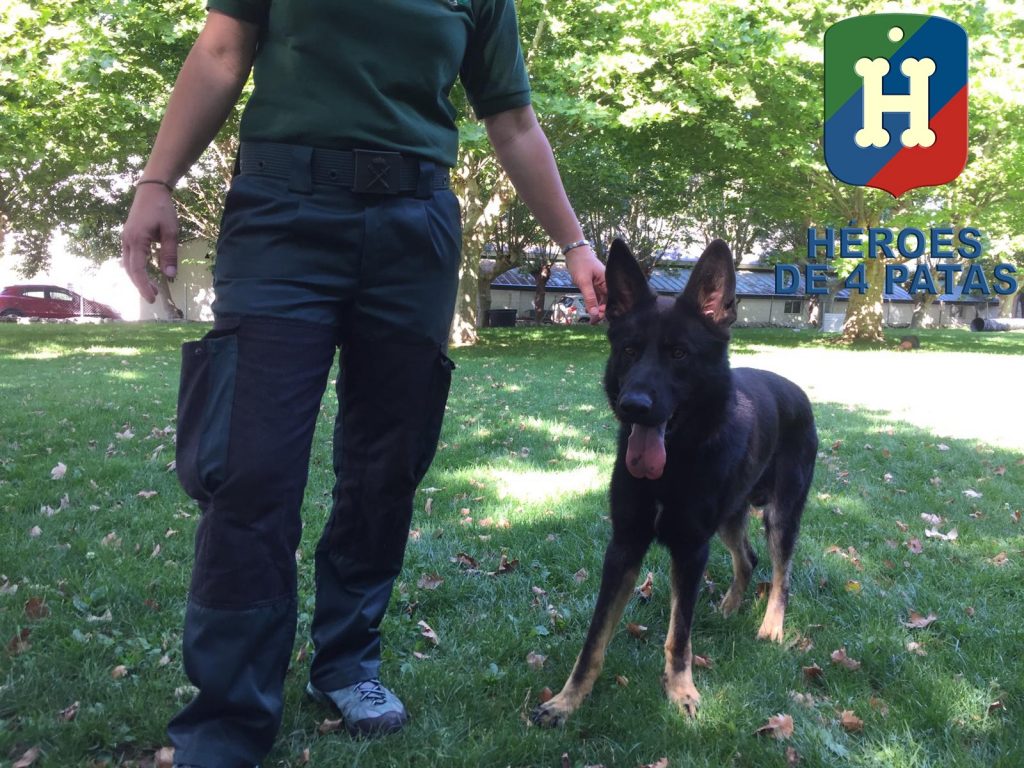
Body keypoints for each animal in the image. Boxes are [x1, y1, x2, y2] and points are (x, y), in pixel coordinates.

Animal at [532, 239, 817, 725]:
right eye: (629, 350)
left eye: (679, 354)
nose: (633, 406)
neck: (675, 463)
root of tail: (796, 391)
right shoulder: (624, 547)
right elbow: (594, 639)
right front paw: (568, 700)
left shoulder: (689, 549)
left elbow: (679, 634)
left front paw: (681, 691)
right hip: (729, 519)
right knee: (748, 558)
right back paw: (730, 605)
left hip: (780, 517)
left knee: (782, 573)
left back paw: (771, 626)